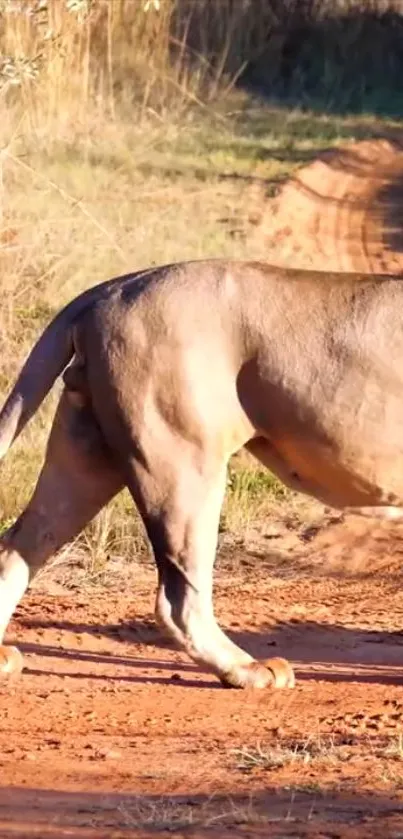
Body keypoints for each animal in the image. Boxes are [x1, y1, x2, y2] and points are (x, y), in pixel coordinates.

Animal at [0, 262, 400, 688]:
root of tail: (108, 290)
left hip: (86, 451)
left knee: (20, 545)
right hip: (180, 458)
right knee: (178, 598)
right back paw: (249, 670)